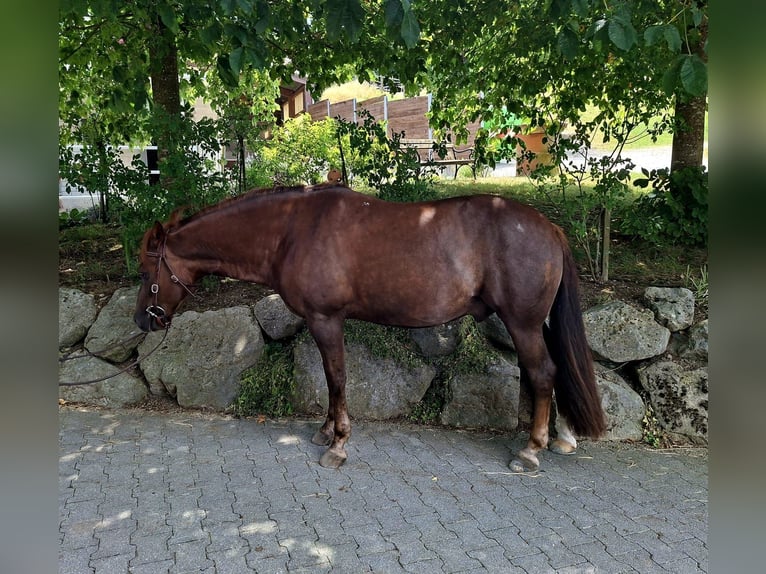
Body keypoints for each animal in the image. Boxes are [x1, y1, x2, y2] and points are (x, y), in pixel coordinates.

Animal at [133, 183, 606, 471]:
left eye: (143, 269)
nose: (142, 319)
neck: (292, 230)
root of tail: (550, 227)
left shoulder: (326, 320)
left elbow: (337, 377)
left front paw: (338, 444)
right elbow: (329, 380)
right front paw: (325, 431)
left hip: (522, 323)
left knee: (542, 373)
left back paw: (530, 450)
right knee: (553, 370)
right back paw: (561, 437)